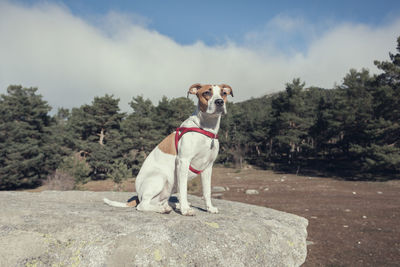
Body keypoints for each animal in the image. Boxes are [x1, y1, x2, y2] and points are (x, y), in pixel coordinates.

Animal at [104, 82, 233, 217]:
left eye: (224, 93)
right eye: (207, 93)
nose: (219, 102)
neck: (206, 129)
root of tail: (138, 197)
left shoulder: (208, 167)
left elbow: (207, 191)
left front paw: (209, 208)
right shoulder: (183, 162)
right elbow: (183, 190)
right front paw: (185, 210)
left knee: (162, 201)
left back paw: (172, 205)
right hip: (160, 178)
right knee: (143, 205)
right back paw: (165, 209)